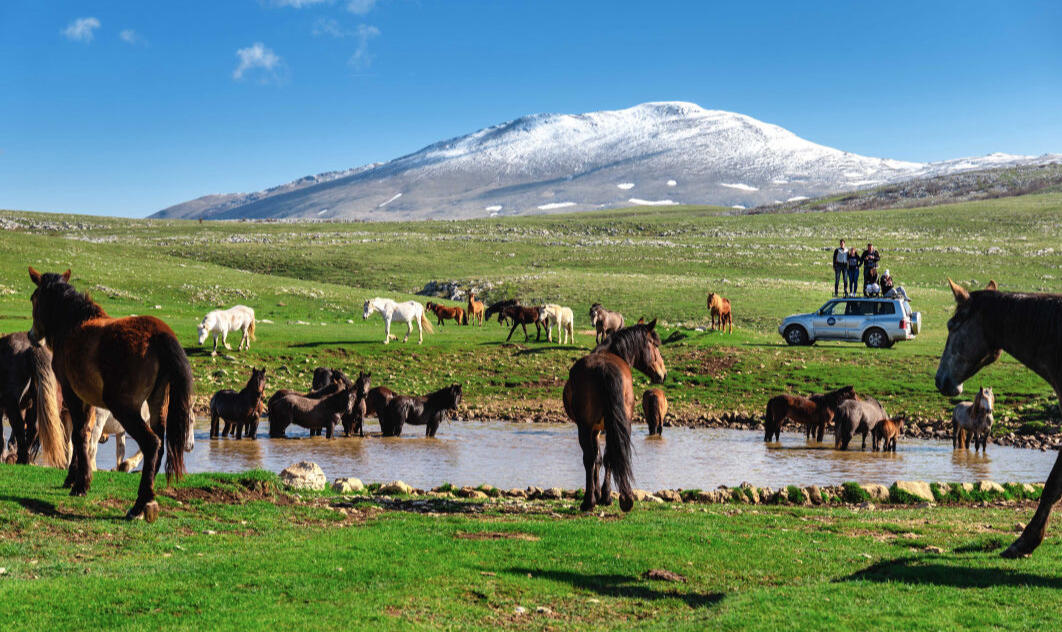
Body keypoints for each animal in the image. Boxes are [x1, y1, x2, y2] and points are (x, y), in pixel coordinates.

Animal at [0, 331, 51, 464]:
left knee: (19, 425)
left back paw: (20, 458)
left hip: (13, 404)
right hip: (33, 403)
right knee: (33, 428)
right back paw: (24, 459)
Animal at [28, 268, 194, 522]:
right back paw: (148, 497)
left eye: (34, 299)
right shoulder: (86, 400)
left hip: (125, 408)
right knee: (159, 445)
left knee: (152, 443)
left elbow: (79, 435)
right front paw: (74, 478)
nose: (31, 335)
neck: (74, 324)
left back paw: (140, 504)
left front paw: (80, 484)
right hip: (157, 403)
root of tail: (160, 334)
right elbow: (83, 435)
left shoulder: (72, 393)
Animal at [563, 321, 667, 512]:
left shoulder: (595, 429)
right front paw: (602, 495)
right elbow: (602, 458)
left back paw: (589, 501)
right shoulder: (601, 428)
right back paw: (617, 498)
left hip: (585, 426)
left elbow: (595, 459)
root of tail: (604, 368)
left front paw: (596, 495)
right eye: (655, 345)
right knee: (611, 455)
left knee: (590, 458)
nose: (663, 374)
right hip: (619, 423)